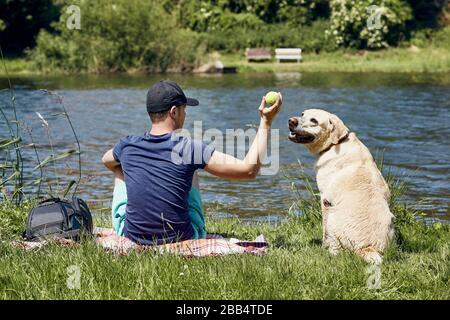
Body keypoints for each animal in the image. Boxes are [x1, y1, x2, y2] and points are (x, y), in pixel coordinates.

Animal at [288, 109, 394, 264]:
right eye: (302, 114)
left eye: (314, 121)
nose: (291, 121)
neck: (335, 144)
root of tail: (368, 247)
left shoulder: (325, 200)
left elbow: (324, 231)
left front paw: (323, 247)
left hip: (334, 218)